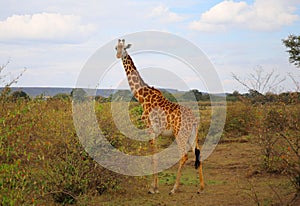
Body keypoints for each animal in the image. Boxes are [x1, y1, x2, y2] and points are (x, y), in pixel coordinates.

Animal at [115, 39, 204, 195]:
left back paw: (174, 188)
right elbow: (155, 156)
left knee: (184, 156)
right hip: (192, 135)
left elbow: (153, 156)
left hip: (180, 134)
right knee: (198, 153)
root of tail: (194, 121)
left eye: (124, 48)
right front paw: (154, 186)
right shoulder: (155, 131)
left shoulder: (150, 129)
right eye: (116, 47)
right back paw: (201, 188)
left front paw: (153, 188)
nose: (118, 55)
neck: (142, 97)